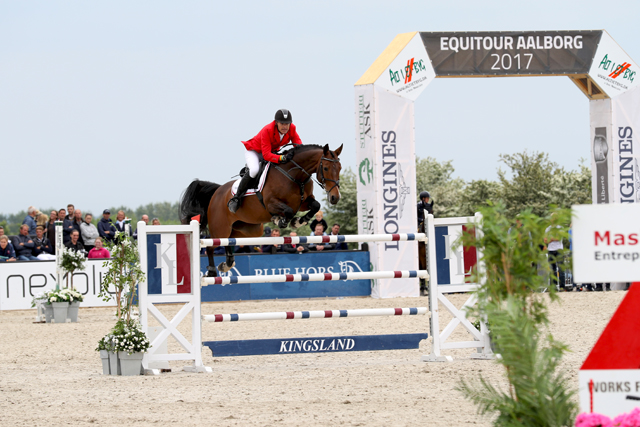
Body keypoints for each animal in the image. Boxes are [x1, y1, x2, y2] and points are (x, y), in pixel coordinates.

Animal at [178, 144, 342, 278]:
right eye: (326, 168)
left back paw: (227, 264)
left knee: (229, 242)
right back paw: (212, 271)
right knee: (211, 246)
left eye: (339, 168)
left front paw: (298, 221)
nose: (335, 198)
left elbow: (315, 206)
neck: (294, 176)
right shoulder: (271, 203)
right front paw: (280, 220)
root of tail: (217, 192)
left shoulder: (303, 203)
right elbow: (288, 211)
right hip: (220, 229)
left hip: (247, 230)